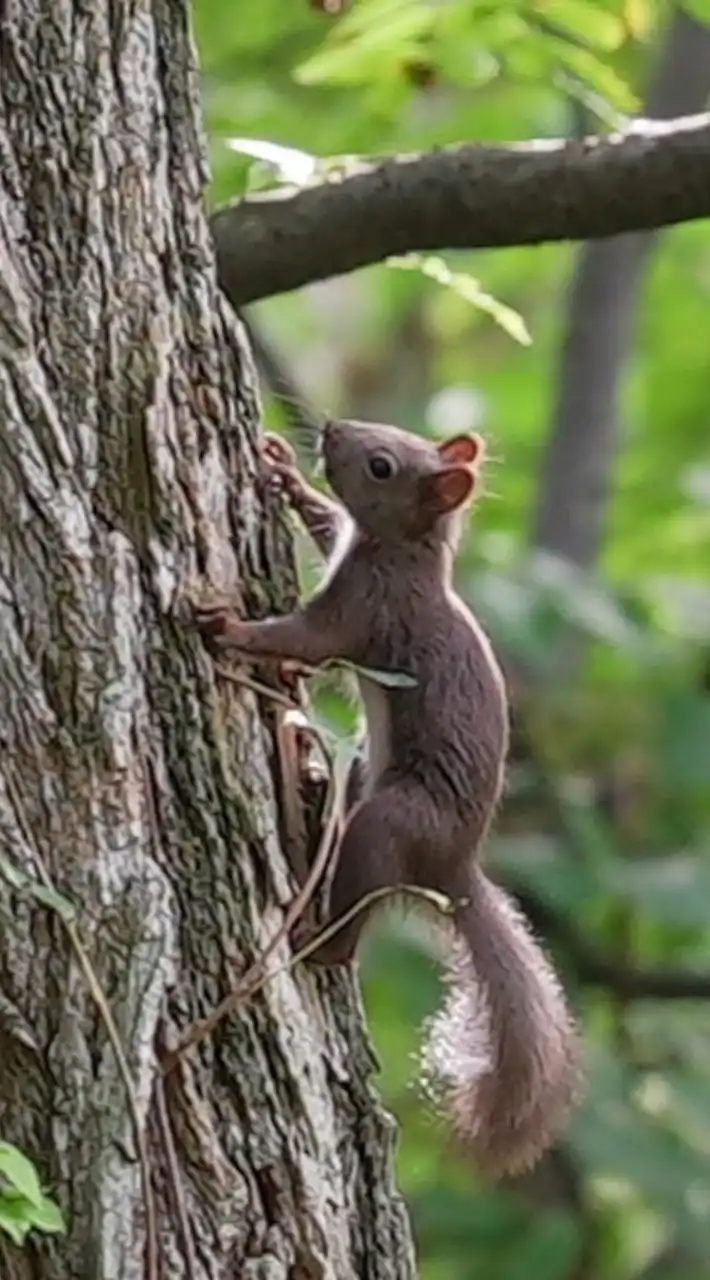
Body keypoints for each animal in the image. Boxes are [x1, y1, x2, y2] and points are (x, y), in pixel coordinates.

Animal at [195, 419, 583, 1177]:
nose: (331, 429)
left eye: (381, 466)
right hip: (362, 783)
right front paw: (287, 475)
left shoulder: (366, 607)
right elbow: (325, 525)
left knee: (350, 933)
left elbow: (303, 637)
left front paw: (227, 627)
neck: (407, 552)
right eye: (396, 438)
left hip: (390, 821)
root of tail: (451, 867)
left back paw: (315, 939)